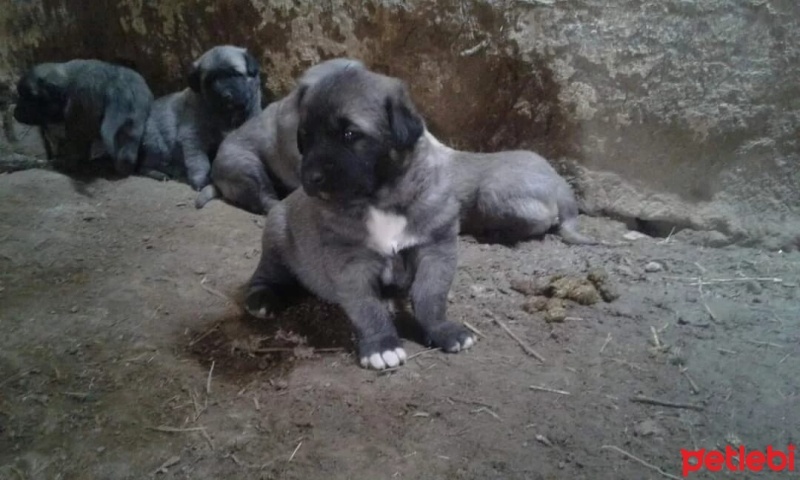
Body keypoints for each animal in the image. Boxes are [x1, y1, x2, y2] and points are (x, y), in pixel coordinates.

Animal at [138, 45, 262, 190]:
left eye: (235, 74)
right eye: (209, 81)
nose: (225, 96)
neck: (226, 115)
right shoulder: (193, 138)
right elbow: (198, 161)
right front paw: (201, 180)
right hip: (158, 146)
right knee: (144, 166)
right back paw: (160, 173)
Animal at [245, 65, 476, 370]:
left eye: (350, 134)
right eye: (305, 136)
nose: (310, 177)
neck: (380, 201)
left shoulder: (436, 249)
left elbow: (431, 295)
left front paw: (442, 330)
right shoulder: (351, 264)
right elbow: (367, 308)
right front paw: (381, 345)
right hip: (275, 237)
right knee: (266, 273)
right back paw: (261, 298)